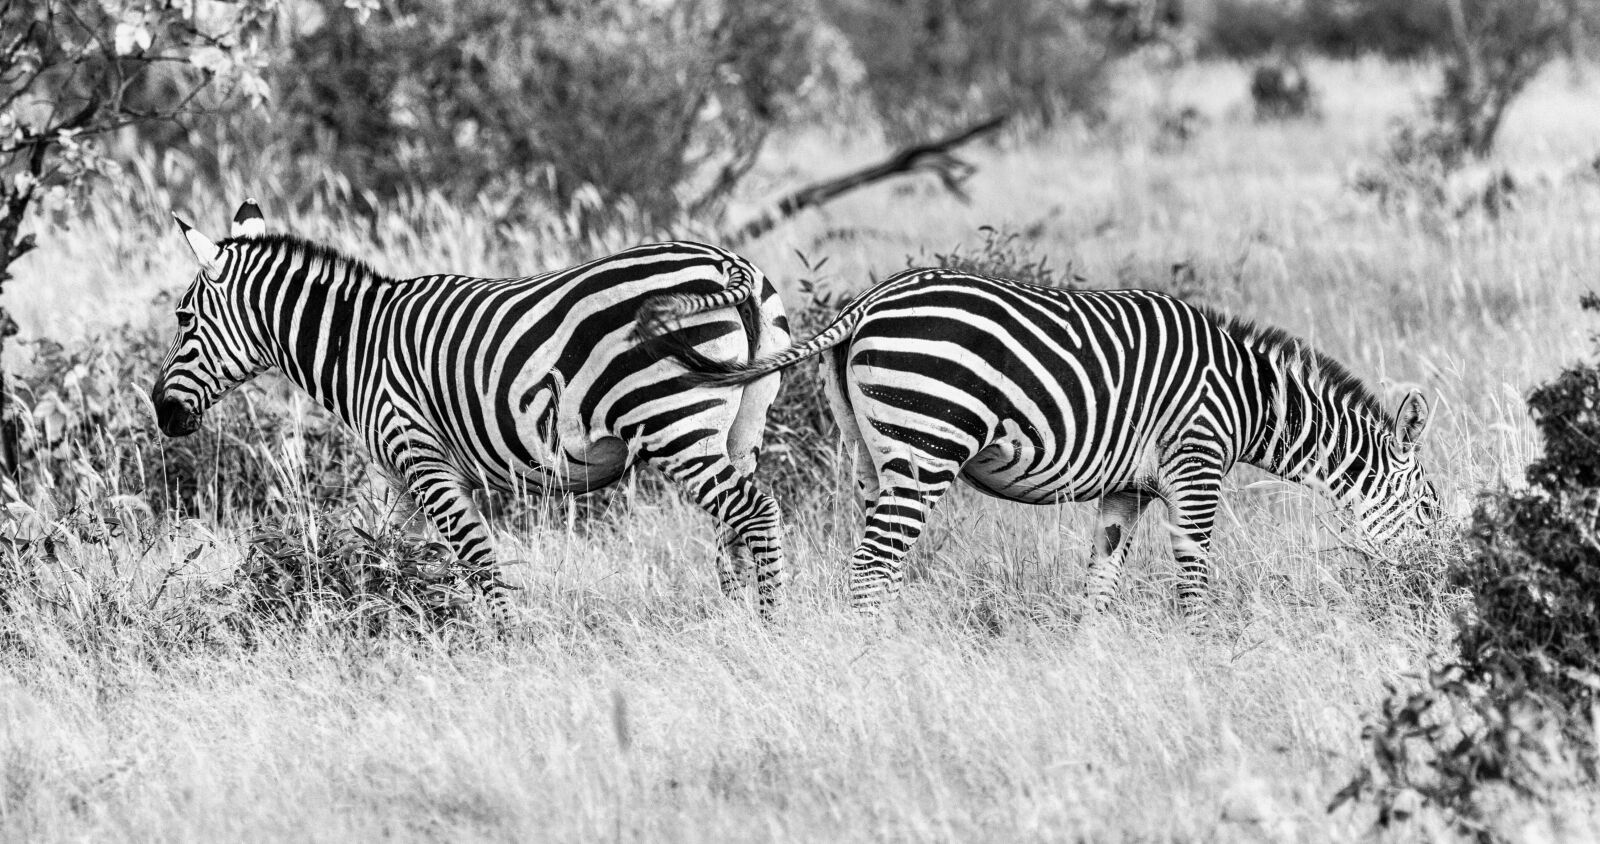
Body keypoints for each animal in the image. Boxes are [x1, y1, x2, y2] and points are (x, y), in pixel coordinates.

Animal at [152, 201, 790, 617]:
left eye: (183, 318)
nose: (161, 412)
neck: (357, 344)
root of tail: (727, 263)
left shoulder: (426, 463)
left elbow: (476, 560)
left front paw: (505, 648)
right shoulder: (398, 478)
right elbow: (385, 555)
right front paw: (390, 619)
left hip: (668, 422)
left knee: (754, 512)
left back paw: (772, 627)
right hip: (741, 426)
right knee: (736, 530)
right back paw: (739, 624)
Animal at [643, 268, 1446, 620]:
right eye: (1430, 513)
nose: (1433, 590)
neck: (1250, 402)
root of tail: (869, 301)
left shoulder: (1129, 488)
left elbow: (1101, 577)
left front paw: (1089, 661)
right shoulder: (1196, 464)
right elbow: (1195, 574)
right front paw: (1207, 652)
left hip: (874, 453)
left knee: (870, 559)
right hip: (927, 446)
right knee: (873, 568)